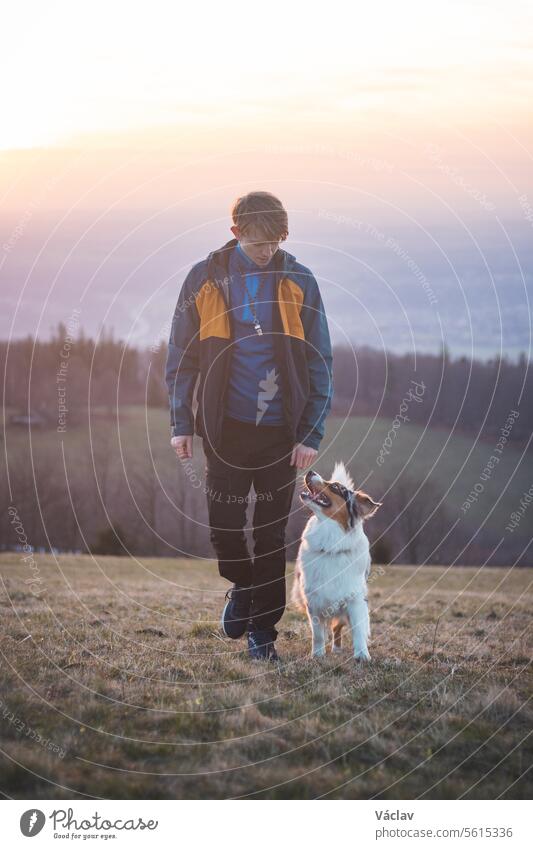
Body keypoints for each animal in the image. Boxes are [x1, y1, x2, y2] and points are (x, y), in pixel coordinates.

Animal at [290, 460, 382, 660]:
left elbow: (358, 630)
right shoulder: (314, 600)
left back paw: (337, 648)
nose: (310, 471)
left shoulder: (354, 598)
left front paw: (362, 655)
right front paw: (317, 655)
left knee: (338, 627)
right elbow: (317, 634)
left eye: (335, 487)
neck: (331, 545)